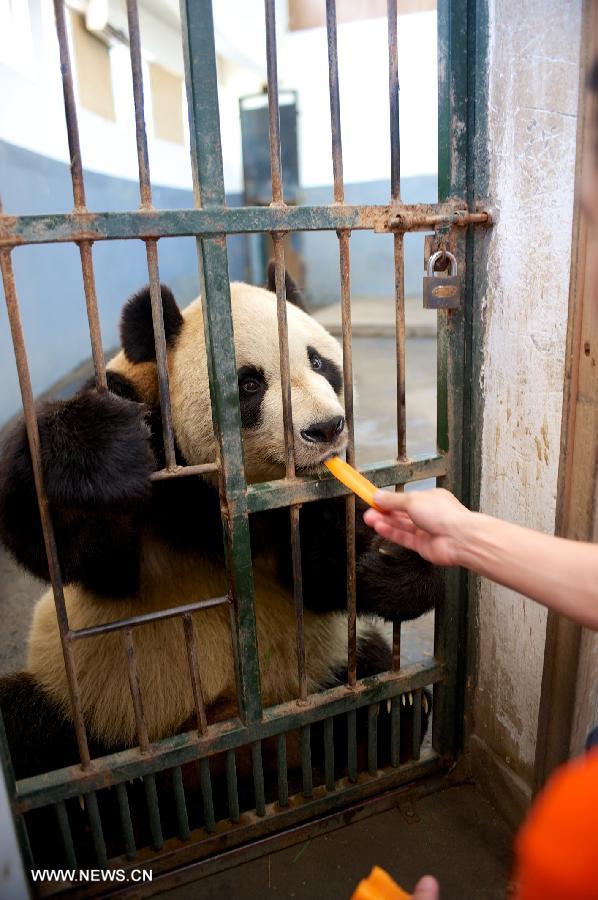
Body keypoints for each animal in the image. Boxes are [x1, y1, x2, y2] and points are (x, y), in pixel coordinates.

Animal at [0, 272, 440, 856]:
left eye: (319, 362)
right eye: (249, 384)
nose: (327, 429)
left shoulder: (300, 505)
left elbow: (322, 576)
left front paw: (403, 561)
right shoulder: (155, 480)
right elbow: (65, 541)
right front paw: (98, 441)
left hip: (313, 672)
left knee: (363, 665)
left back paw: (386, 719)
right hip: (95, 704)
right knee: (35, 734)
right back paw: (95, 819)